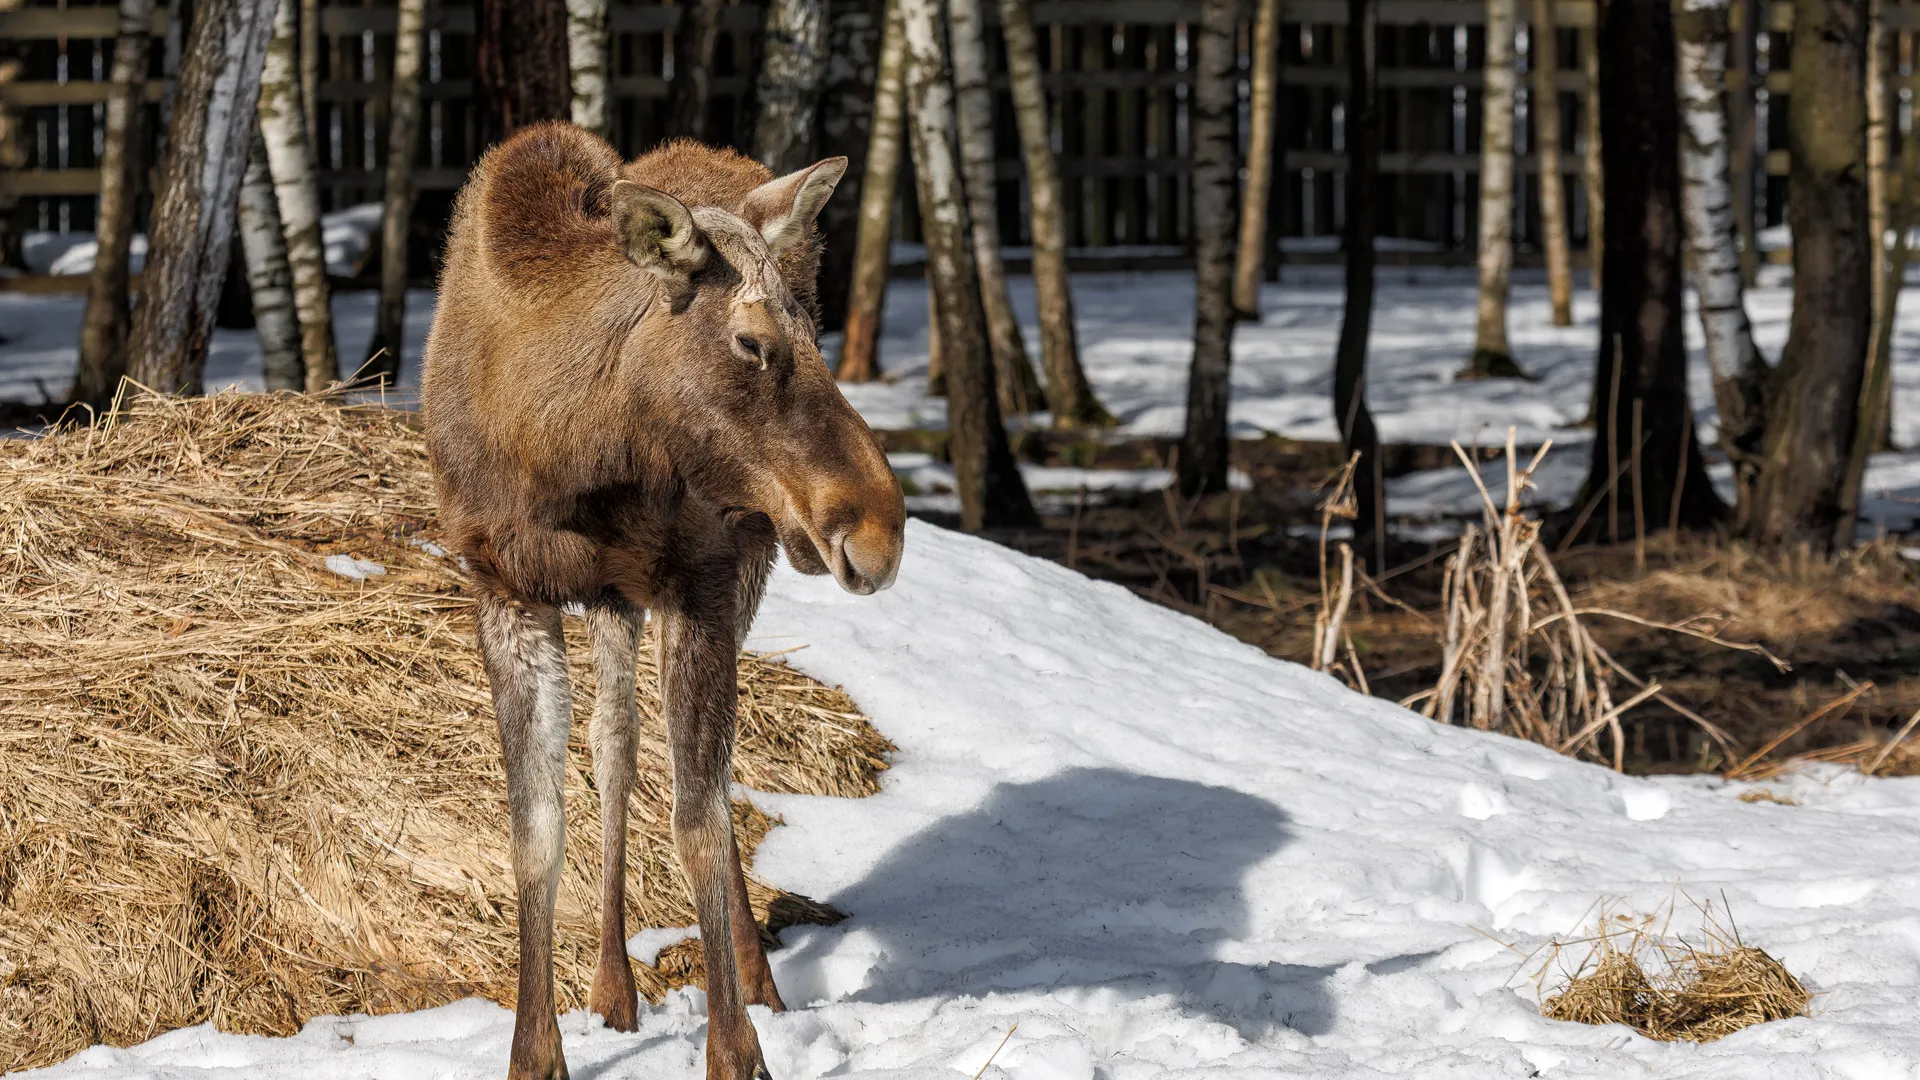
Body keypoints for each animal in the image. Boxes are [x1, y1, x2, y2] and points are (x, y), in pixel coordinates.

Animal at [422, 122, 905, 1080]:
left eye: (814, 328)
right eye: (751, 343)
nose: (881, 529)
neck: (566, 456)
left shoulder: (701, 582)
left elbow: (699, 820)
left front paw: (737, 1050)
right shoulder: (502, 589)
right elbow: (535, 833)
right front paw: (536, 1053)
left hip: (739, 565)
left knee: (699, 776)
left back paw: (755, 978)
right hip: (615, 597)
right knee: (615, 745)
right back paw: (614, 984)